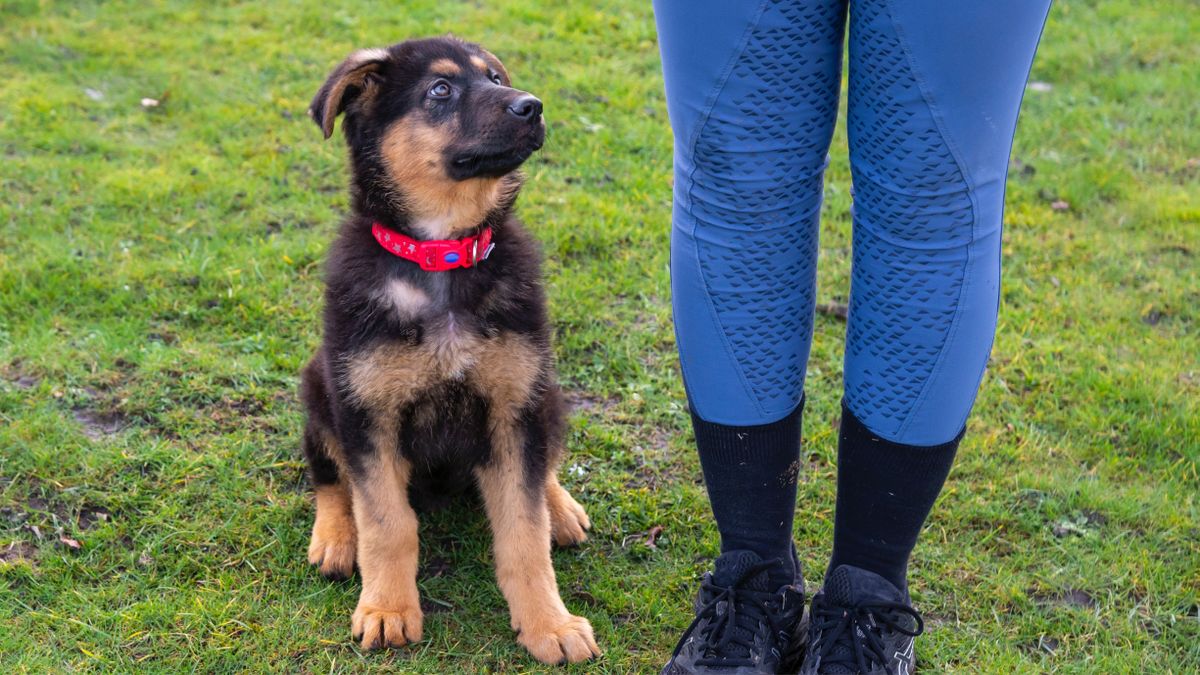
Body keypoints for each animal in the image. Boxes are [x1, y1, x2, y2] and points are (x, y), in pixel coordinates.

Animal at [300, 36, 600, 662]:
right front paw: (387, 610)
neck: (443, 255)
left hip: (547, 392)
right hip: (319, 385)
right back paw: (336, 537)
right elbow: (387, 523)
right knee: (329, 475)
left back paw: (560, 508)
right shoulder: (368, 414)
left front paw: (549, 623)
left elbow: (524, 531)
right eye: (440, 90)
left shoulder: (513, 409)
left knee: (543, 472)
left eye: (494, 78)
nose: (533, 107)